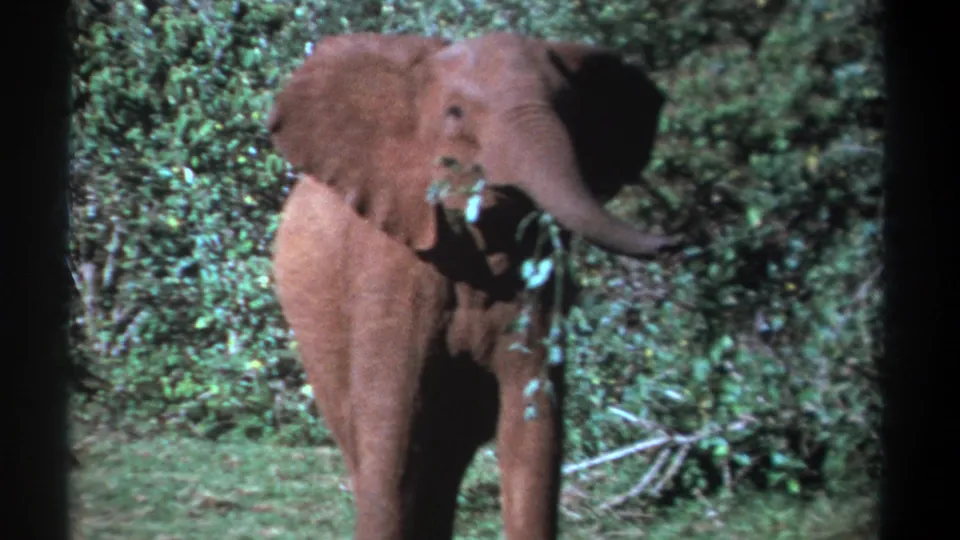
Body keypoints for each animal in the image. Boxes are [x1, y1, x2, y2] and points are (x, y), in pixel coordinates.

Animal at [267, 32, 681, 540]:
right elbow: (392, 427)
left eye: (571, 109)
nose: (675, 241)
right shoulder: (388, 263)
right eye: (455, 113)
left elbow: (533, 426)